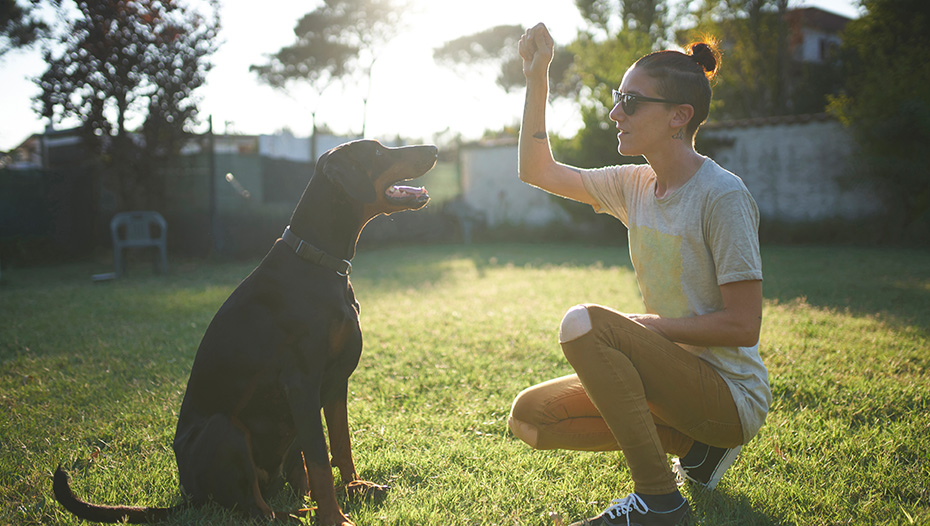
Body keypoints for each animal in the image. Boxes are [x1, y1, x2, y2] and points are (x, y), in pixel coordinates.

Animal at [54, 138, 438, 524]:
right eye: (377, 152)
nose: (434, 149)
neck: (317, 261)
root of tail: (189, 495)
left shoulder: (335, 383)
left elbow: (341, 444)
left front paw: (355, 487)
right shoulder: (301, 382)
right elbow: (319, 458)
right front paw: (334, 517)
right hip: (225, 429)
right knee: (255, 509)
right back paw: (299, 513)